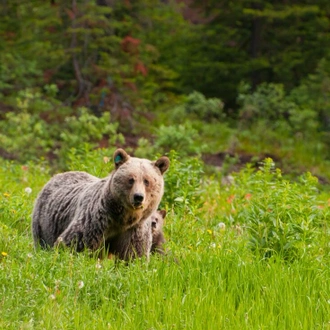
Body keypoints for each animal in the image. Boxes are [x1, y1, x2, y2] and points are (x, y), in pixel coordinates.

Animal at [31, 148, 170, 256]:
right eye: (131, 179)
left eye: (147, 181)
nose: (138, 197)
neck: (122, 219)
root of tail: (58, 175)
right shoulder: (96, 221)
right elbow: (74, 243)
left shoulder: (134, 230)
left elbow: (133, 254)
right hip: (45, 222)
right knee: (42, 241)